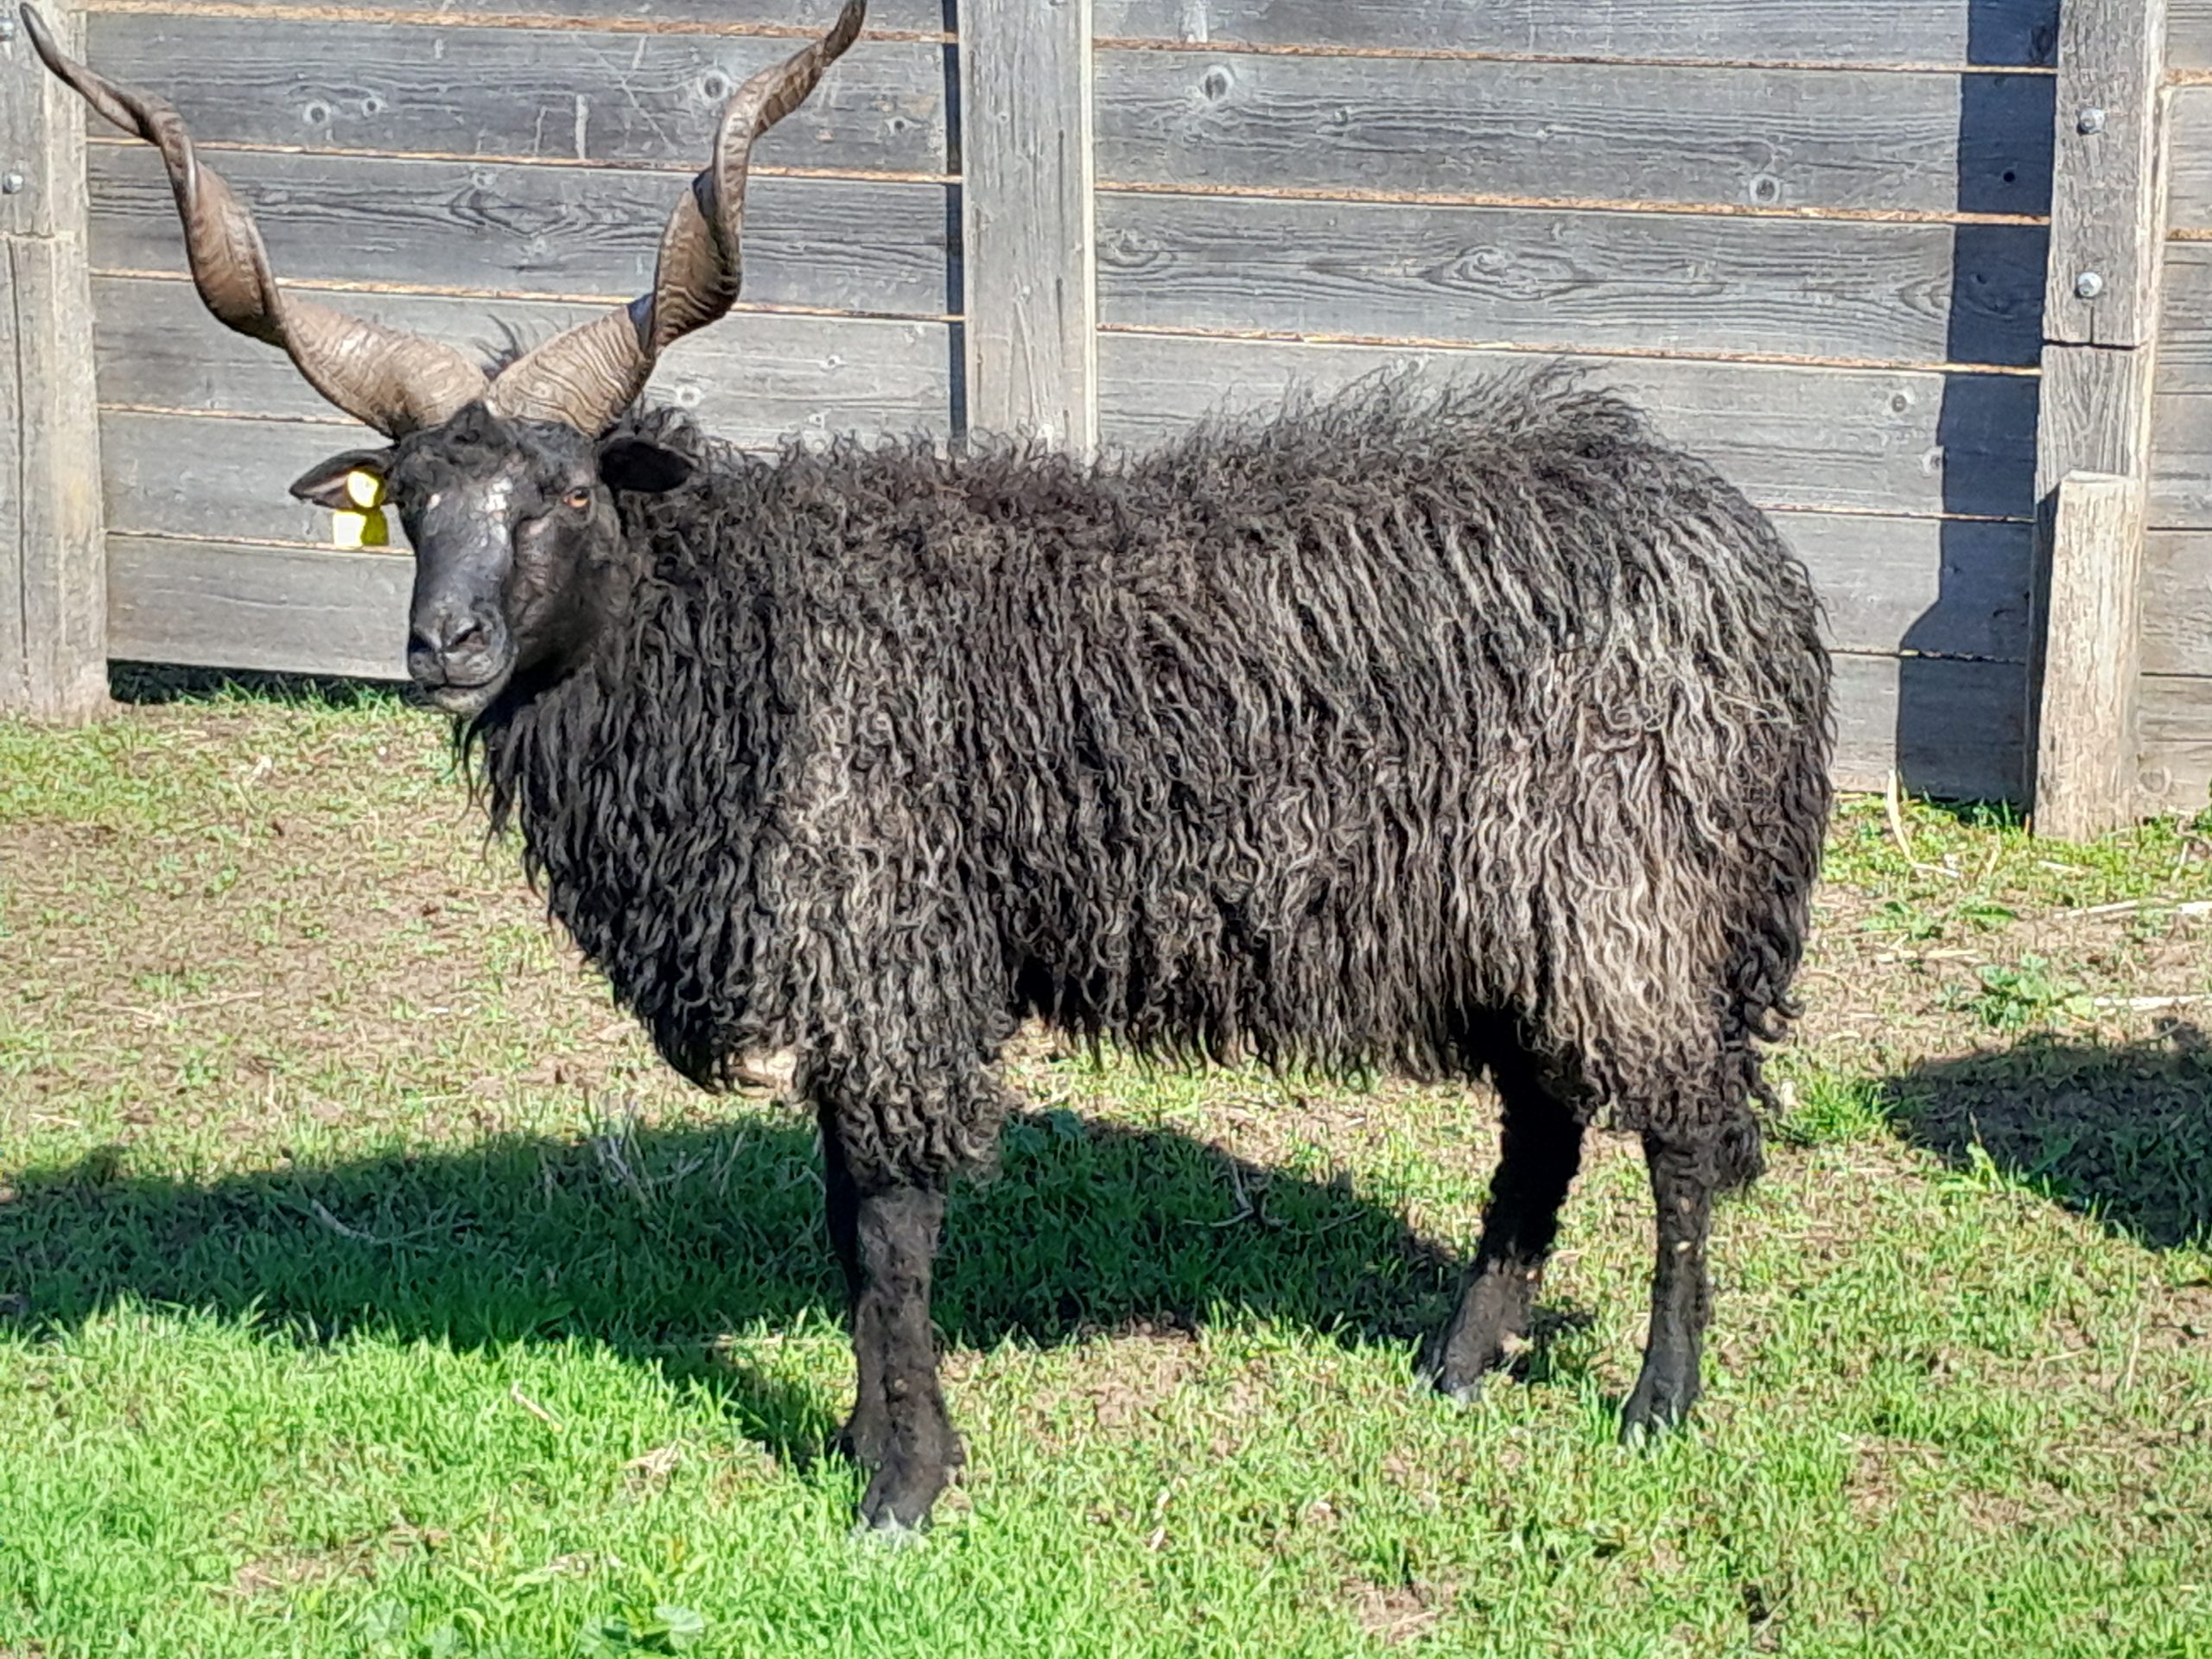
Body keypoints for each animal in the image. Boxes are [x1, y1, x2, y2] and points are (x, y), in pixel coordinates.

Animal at [26, 0, 1831, 1530]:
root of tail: (1739, 546)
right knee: (1546, 1118)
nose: (442, 648)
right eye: (408, 498)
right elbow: (845, 1232)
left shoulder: (890, 957)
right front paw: (877, 1443)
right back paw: (1457, 1364)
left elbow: (889, 1241)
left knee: (1679, 1133)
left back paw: (1660, 1404)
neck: (755, 638)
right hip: (1523, 910)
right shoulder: (856, 977)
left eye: (572, 493)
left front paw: (901, 1490)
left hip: (1638, 890)